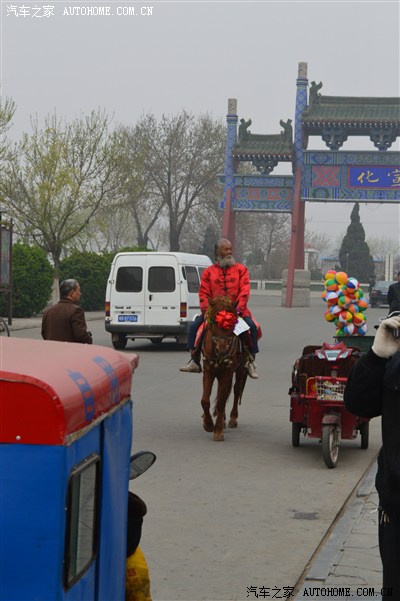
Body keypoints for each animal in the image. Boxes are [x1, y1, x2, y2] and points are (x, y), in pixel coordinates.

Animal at [202, 296, 248, 440]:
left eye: (232, 324)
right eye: (213, 322)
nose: (222, 349)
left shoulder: (227, 372)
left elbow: (222, 400)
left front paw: (218, 431)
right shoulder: (209, 371)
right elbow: (205, 400)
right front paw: (208, 424)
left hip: (239, 370)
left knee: (236, 390)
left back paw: (232, 418)